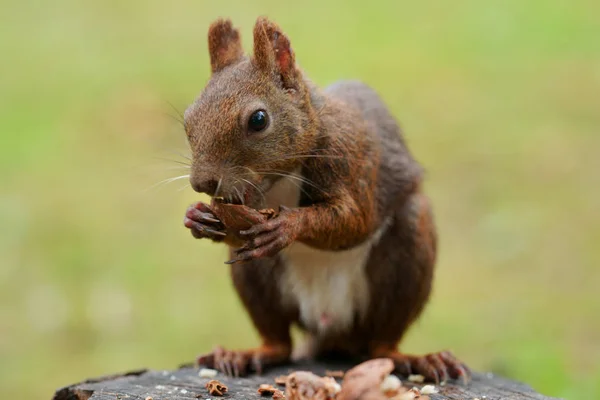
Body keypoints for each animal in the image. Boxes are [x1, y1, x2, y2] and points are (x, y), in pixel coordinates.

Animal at [180, 17, 472, 382]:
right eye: (188, 120)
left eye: (259, 119)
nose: (202, 183)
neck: (281, 178)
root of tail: (330, 325)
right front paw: (197, 217)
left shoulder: (350, 158)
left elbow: (354, 220)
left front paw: (288, 226)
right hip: (258, 280)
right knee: (279, 342)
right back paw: (245, 354)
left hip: (406, 254)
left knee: (382, 343)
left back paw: (415, 358)